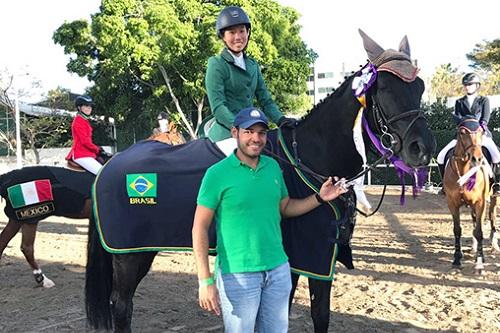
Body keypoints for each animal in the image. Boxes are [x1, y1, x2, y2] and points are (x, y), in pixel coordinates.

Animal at [85, 29, 434, 330]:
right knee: (121, 304)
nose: (423, 148)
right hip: (130, 256)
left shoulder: (312, 259)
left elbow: (312, 313)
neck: (310, 158)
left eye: (419, 87)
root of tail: (111, 165)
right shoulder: (307, 256)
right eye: (384, 89)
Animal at [446, 117, 496, 272]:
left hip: (493, 198)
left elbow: (479, 231)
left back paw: (493, 244)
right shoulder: (452, 203)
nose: (477, 159)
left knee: (492, 217)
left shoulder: (480, 203)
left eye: (481, 131)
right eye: (462, 133)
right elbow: (457, 230)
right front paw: (457, 258)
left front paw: (480, 260)